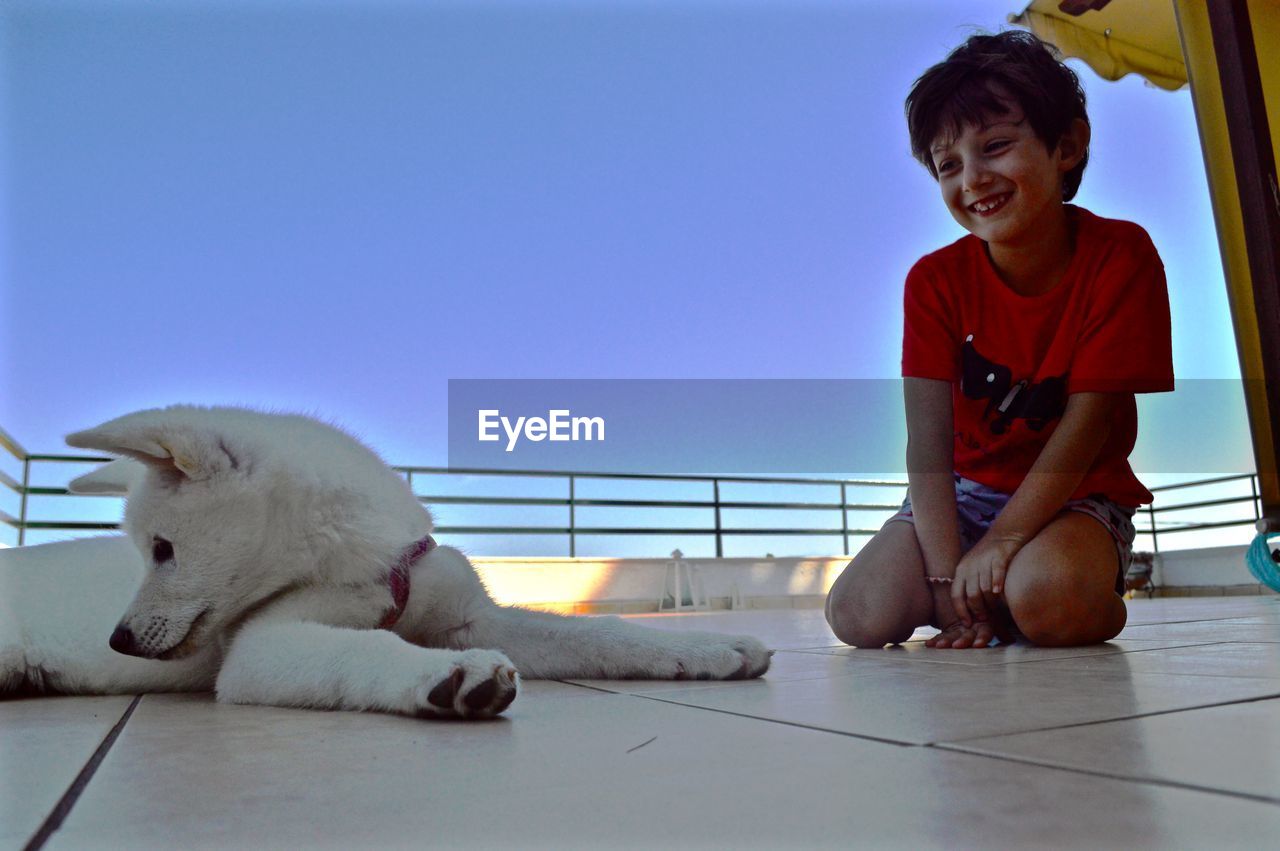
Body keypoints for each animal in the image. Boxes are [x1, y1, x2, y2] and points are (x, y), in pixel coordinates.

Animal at [0, 404, 768, 716]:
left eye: (162, 550)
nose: (119, 640)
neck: (366, 555)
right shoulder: (262, 647)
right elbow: (364, 648)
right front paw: (442, 676)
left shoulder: (468, 615)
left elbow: (603, 633)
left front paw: (707, 648)